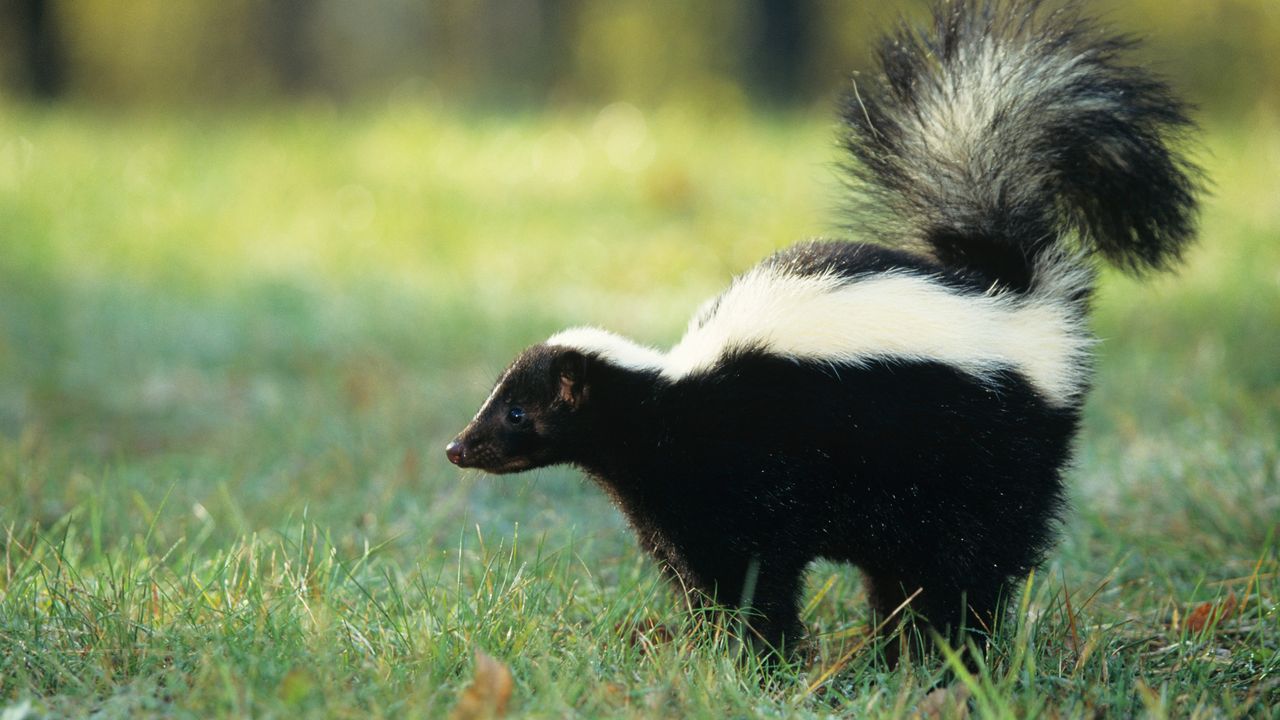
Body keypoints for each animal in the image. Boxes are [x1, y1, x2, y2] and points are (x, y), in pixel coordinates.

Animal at [442, 0, 1198, 661]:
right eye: (495, 401)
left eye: (516, 412)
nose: (457, 447)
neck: (667, 399)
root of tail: (1009, 294)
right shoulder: (675, 508)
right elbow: (700, 579)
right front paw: (713, 650)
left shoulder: (742, 480)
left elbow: (753, 576)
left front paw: (758, 656)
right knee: (905, 573)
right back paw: (897, 648)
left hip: (985, 460)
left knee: (970, 566)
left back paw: (950, 652)